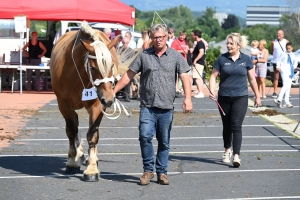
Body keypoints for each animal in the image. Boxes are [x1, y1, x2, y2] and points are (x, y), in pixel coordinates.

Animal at [49, 21, 120, 181]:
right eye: (93, 68)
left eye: (112, 65)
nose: (109, 99)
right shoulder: (63, 104)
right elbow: (71, 130)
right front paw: (72, 161)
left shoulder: (97, 105)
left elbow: (92, 134)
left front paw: (92, 169)